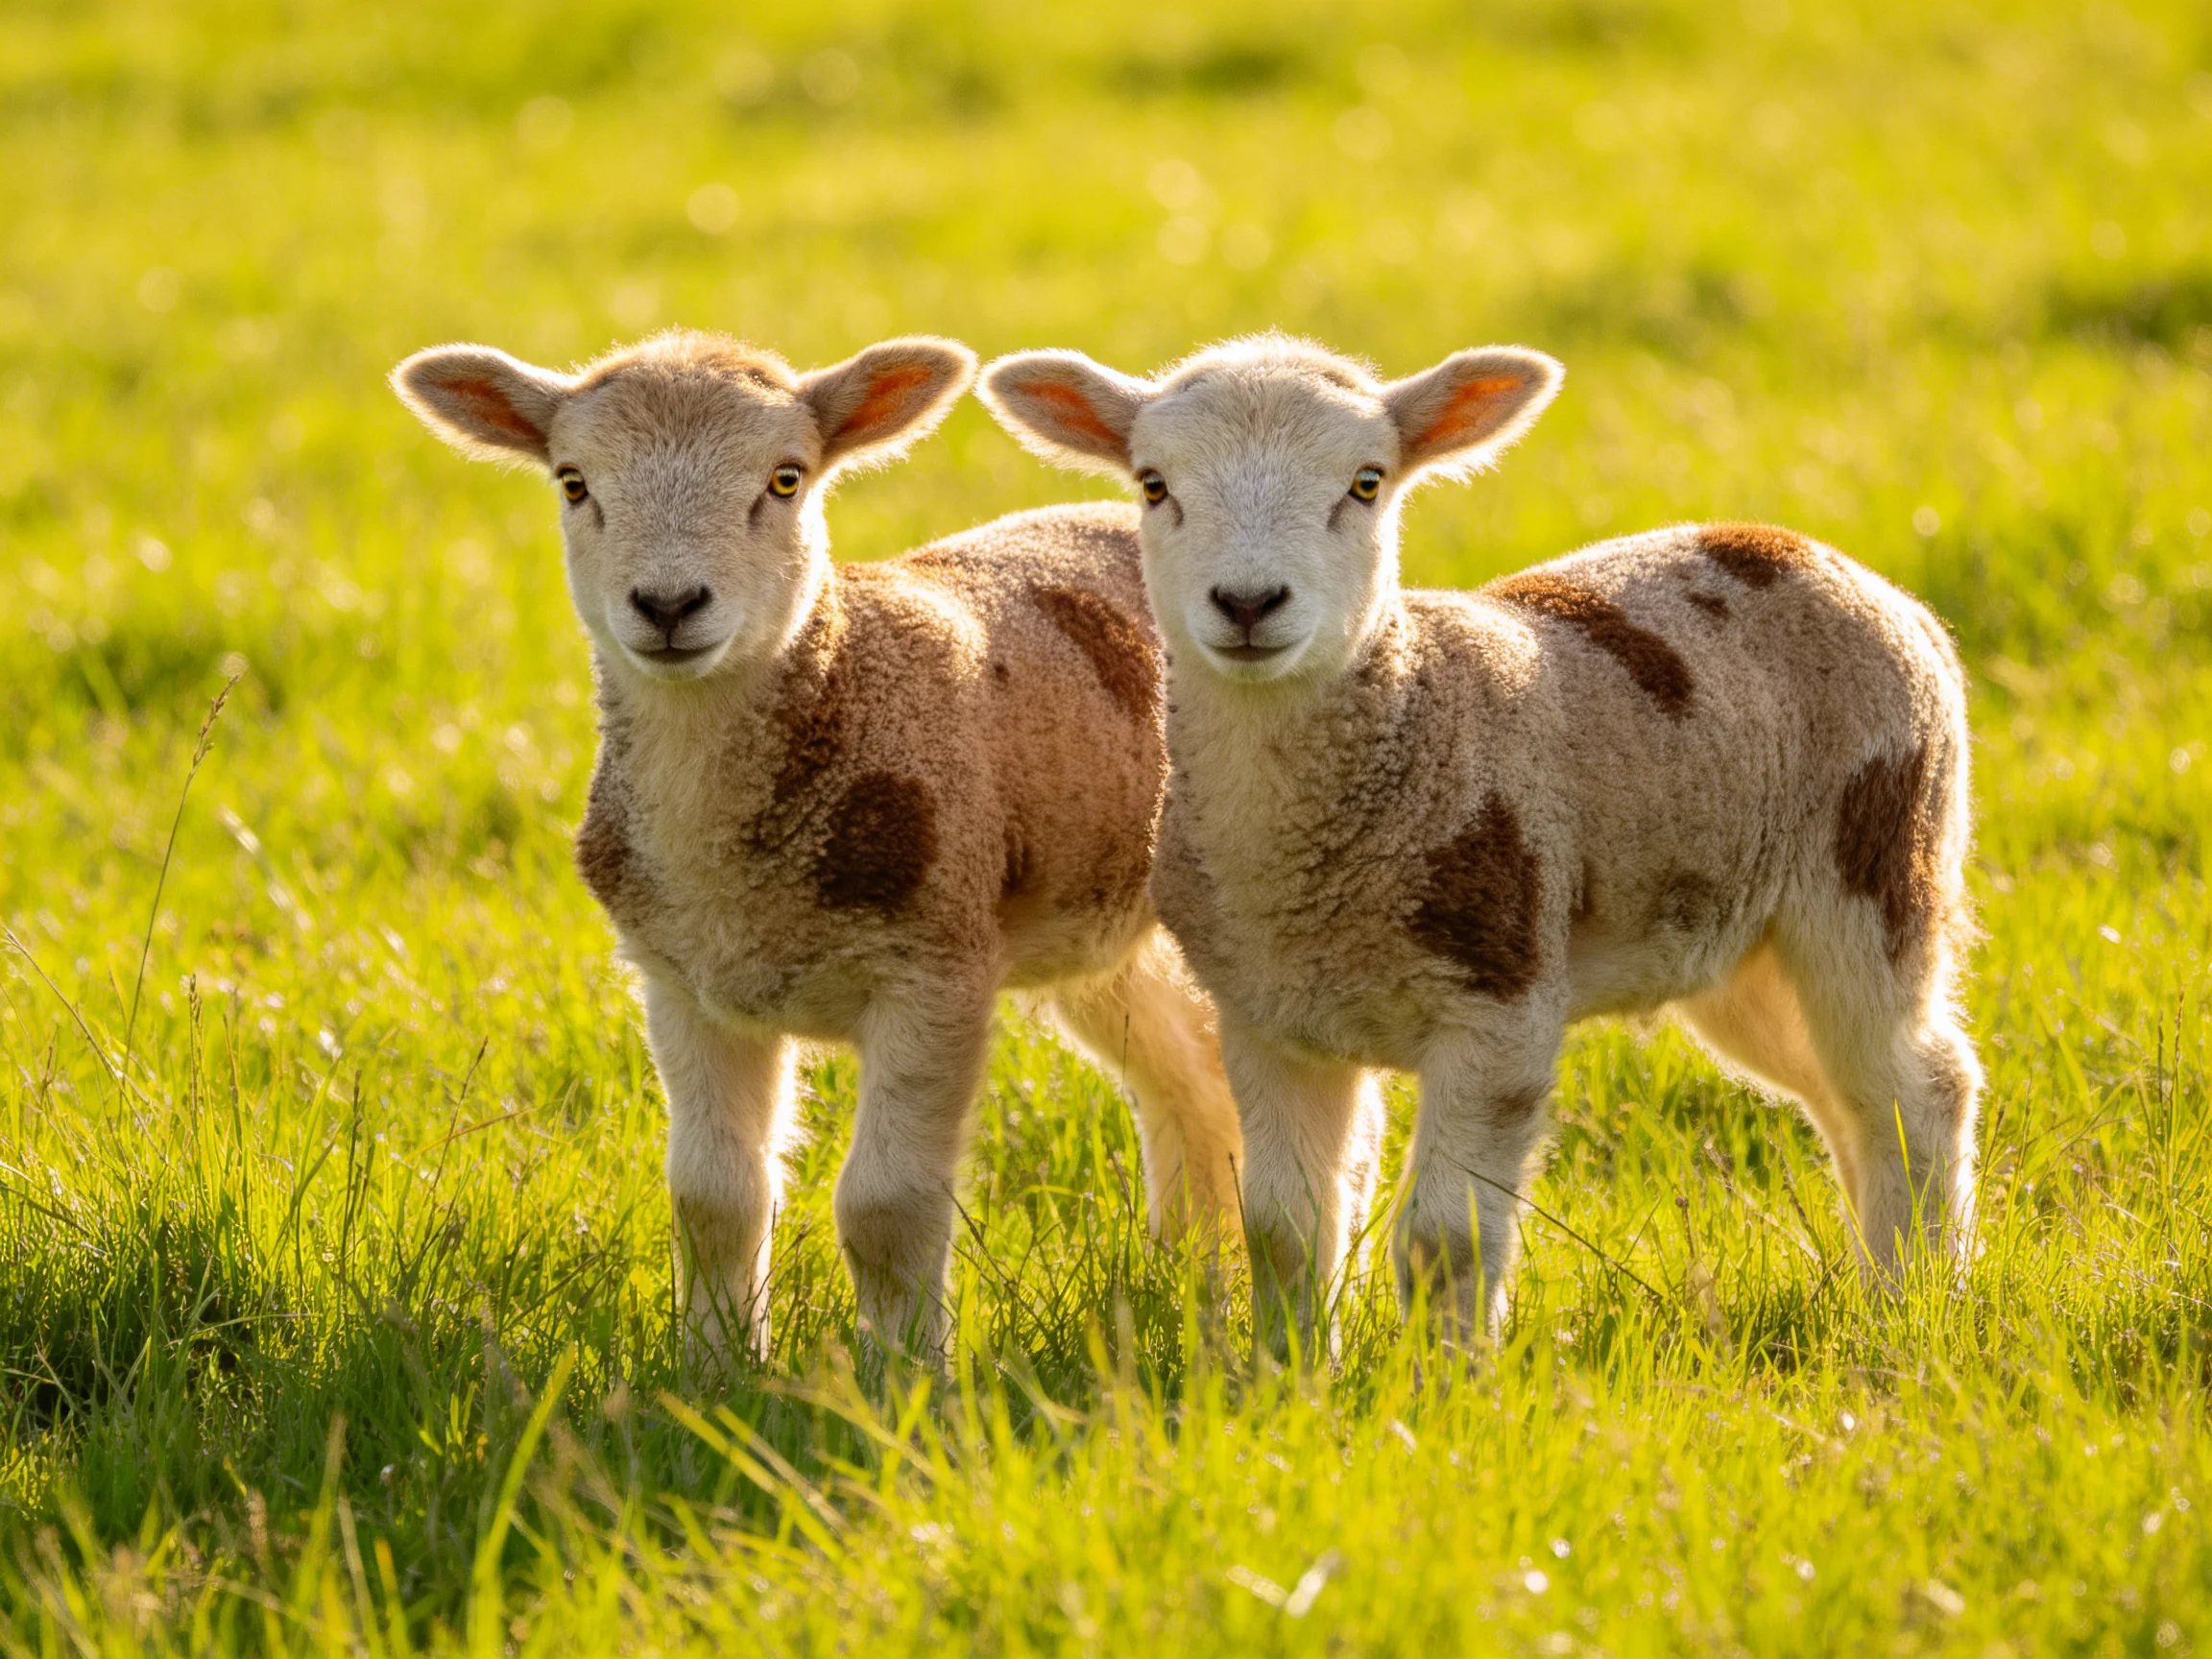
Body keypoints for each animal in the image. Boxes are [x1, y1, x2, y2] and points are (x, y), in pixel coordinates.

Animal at [392, 329, 1242, 1362]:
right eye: (573, 481)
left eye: (785, 478)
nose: (668, 604)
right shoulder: (682, 981)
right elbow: (713, 1199)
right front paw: (715, 1369)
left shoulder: (936, 966)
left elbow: (886, 1206)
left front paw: (907, 1376)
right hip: (1100, 931)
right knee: (1190, 1086)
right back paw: (1193, 1287)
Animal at [979, 334, 1982, 1347]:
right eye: (1153, 485)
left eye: (1367, 483)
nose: (1249, 602)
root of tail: (1832, 561)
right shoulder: (1266, 1013)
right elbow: (1284, 1227)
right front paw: (1292, 1371)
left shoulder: (1500, 1002)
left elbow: (1445, 1238)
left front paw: (1449, 1376)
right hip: (1736, 934)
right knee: (1844, 1095)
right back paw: (1876, 1278)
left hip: (1875, 865)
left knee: (1920, 1088)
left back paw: (1914, 1301)